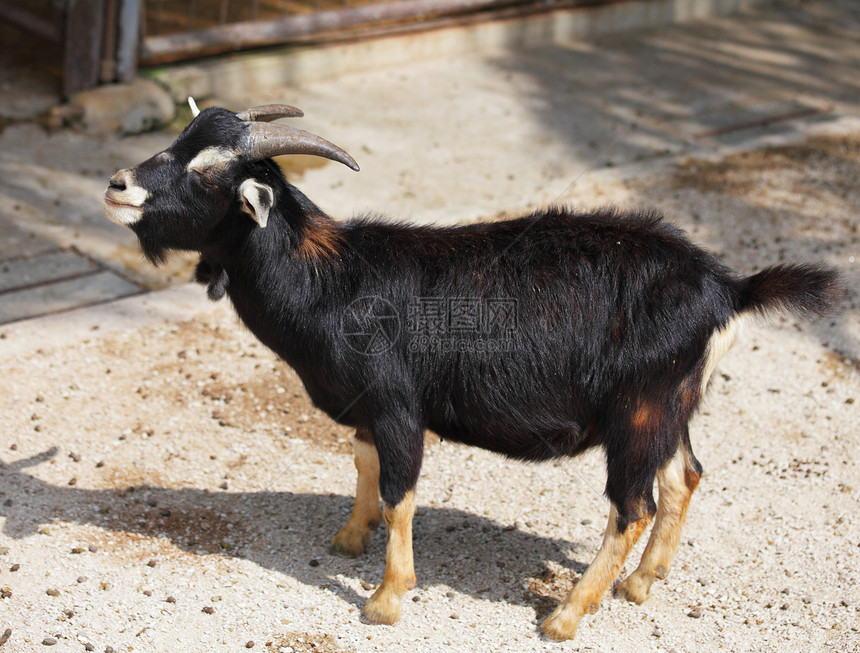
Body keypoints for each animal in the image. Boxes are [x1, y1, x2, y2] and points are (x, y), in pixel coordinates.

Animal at [104, 104, 844, 640]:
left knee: (633, 506)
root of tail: (729, 288)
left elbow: (400, 491)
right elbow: (363, 463)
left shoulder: (398, 403)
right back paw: (639, 584)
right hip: (670, 405)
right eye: (178, 140)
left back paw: (567, 615)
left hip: (639, 410)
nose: (117, 184)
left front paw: (385, 599)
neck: (330, 276)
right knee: (685, 475)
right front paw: (349, 538)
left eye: (206, 172)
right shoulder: (366, 406)